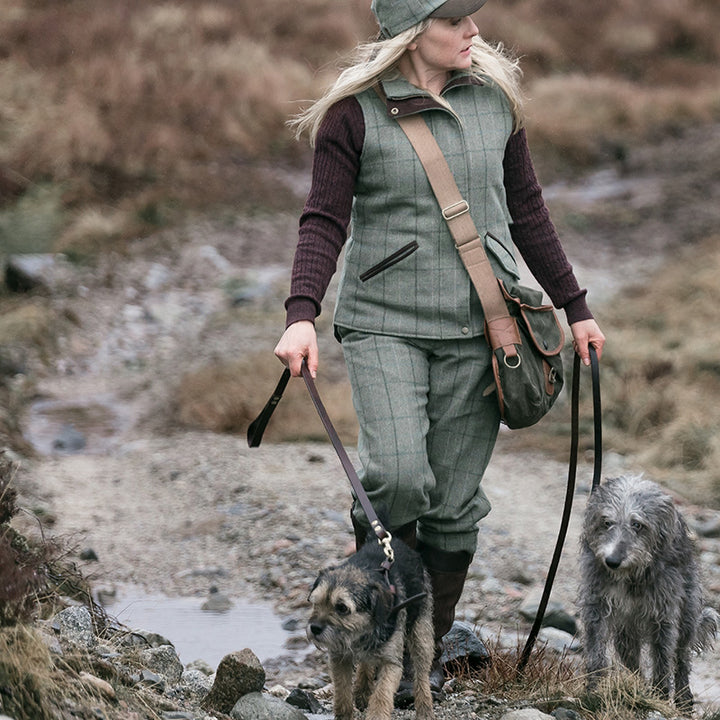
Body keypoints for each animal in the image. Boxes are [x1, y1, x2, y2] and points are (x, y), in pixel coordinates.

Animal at [580, 472, 720, 708]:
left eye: (637, 525)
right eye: (607, 522)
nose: (612, 561)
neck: (630, 575)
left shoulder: (663, 615)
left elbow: (663, 656)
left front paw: (660, 696)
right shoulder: (596, 606)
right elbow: (595, 648)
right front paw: (594, 688)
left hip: (687, 615)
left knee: (681, 657)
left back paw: (683, 698)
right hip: (625, 635)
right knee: (633, 661)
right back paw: (637, 687)